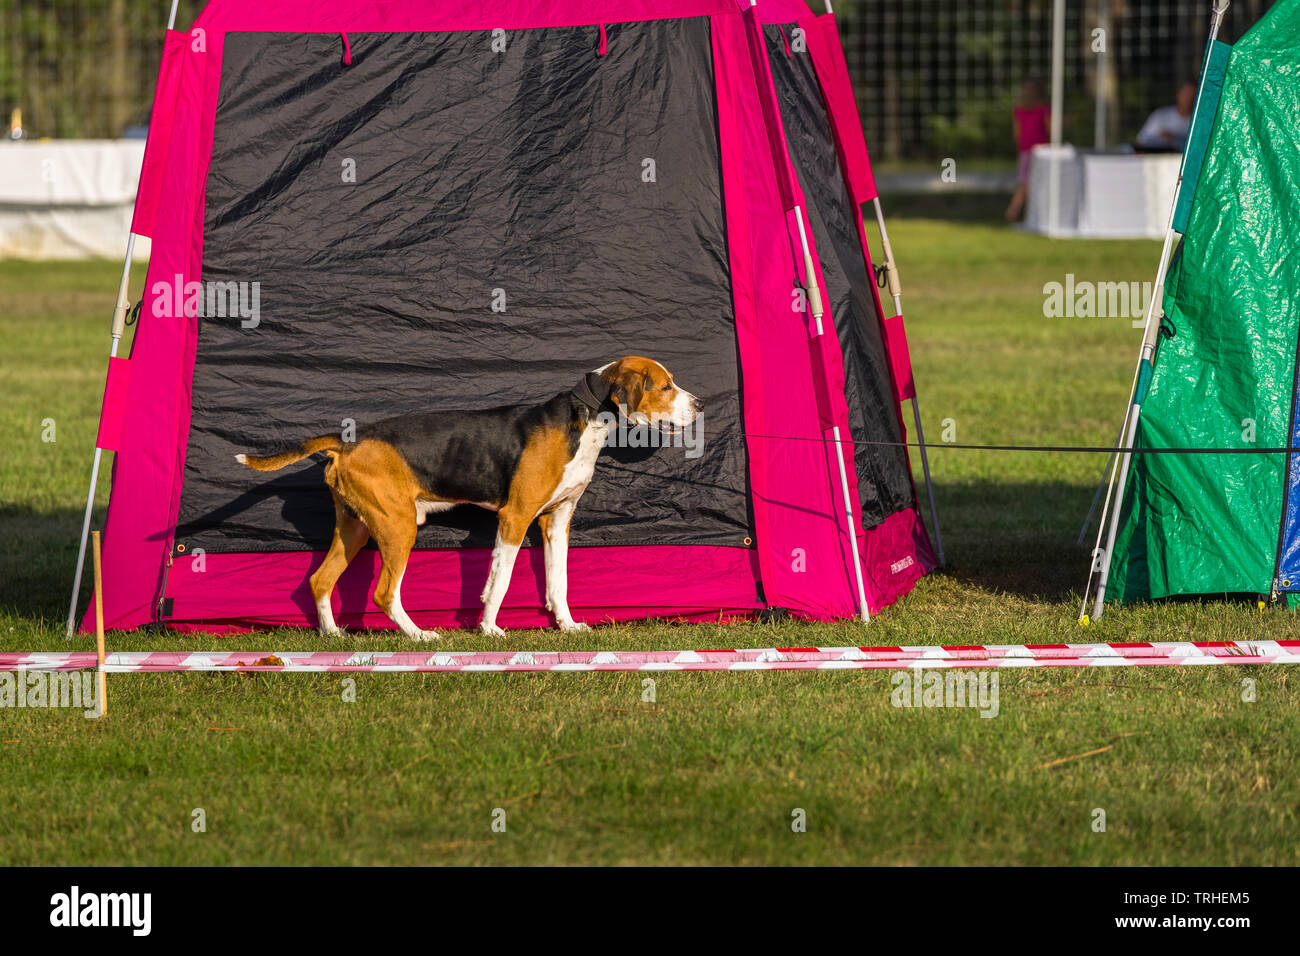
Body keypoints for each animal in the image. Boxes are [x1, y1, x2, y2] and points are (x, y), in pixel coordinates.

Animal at [233, 356, 702, 639]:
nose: (699, 405)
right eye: (665, 386)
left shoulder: (557, 522)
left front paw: (567, 626)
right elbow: (500, 581)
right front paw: (490, 629)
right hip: (398, 527)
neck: (584, 421)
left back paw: (332, 635)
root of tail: (348, 440)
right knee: (384, 593)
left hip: (356, 528)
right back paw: (419, 635)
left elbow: (559, 581)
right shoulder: (514, 519)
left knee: (320, 579)